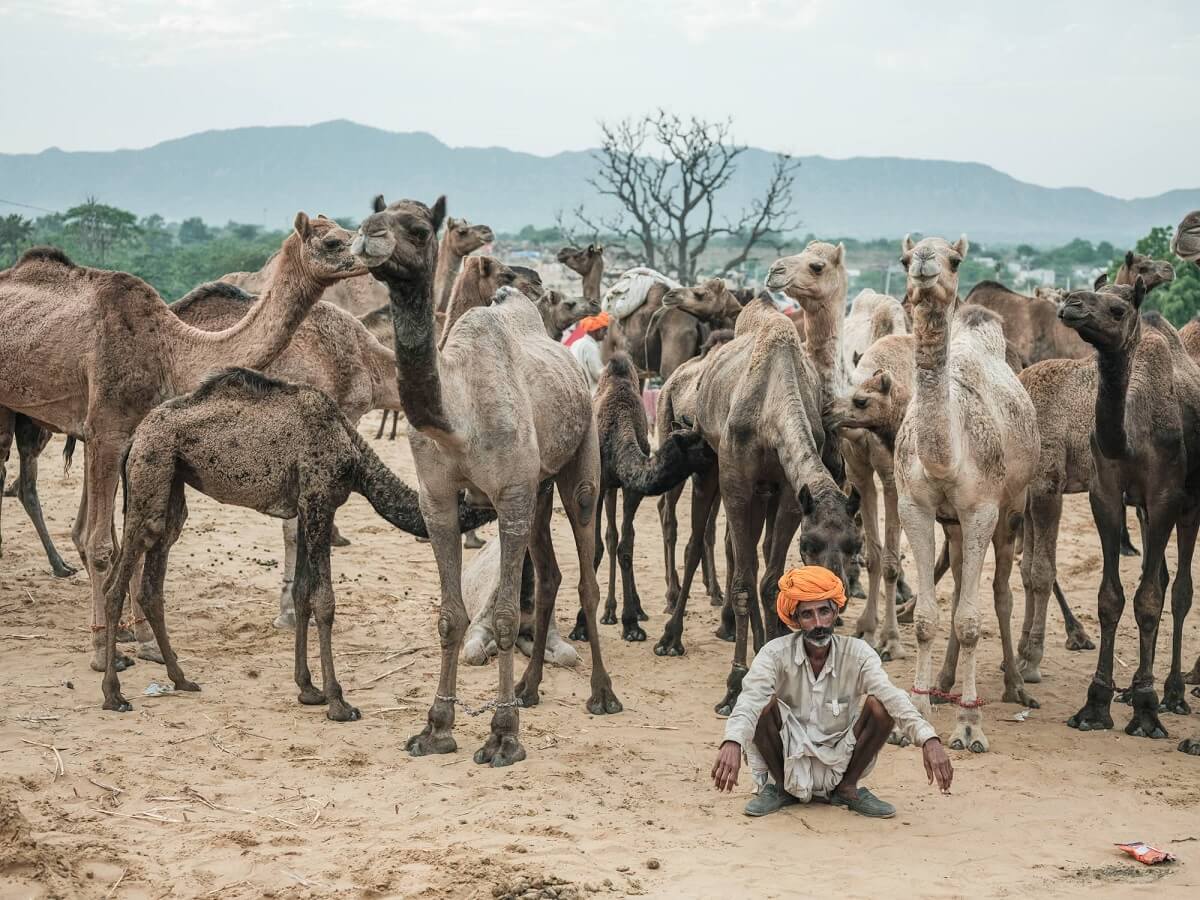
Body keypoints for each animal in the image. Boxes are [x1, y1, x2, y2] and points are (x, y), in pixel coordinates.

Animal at [0, 217, 364, 672]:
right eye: (332, 241)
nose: (369, 254)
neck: (170, 350)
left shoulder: (136, 438)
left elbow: (133, 538)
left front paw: (145, 643)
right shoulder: (105, 430)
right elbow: (100, 543)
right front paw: (104, 653)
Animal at [98, 367, 496, 720]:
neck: (353, 452)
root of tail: (135, 437)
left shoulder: (308, 509)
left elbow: (303, 593)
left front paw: (308, 689)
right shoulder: (319, 501)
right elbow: (325, 601)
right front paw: (338, 702)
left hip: (171, 485)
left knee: (152, 582)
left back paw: (181, 679)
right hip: (150, 472)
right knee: (115, 585)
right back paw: (114, 694)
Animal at [352, 192, 619, 768]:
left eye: (419, 228)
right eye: (373, 212)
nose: (366, 236)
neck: (459, 416)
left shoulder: (510, 495)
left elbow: (502, 618)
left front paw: (502, 737)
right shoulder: (438, 499)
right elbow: (451, 615)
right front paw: (436, 727)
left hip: (578, 467)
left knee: (585, 574)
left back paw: (603, 695)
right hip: (538, 488)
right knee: (549, 576)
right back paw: (529, 689)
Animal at [657, 300, 864, 724]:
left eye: (855, 545)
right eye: (809, 545)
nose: (835, 602)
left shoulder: (787, 491)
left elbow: (770, 580)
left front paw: (772, 655)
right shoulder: (736, 478)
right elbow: (742, 579)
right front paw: (735, 685)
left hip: (762, 492)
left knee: (750, 558)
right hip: (708, 465)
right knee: (698, 545)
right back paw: (671, 636)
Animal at [897, 236, 1036, 758]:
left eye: (955, 260)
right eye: (904, 257)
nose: (923, 264)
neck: (946, 454)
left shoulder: (981, 511)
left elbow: (973, 621)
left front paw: (970, 726)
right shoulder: (914, 507)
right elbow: (927, 617)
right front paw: (916, 713)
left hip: (1012, 509)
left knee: (999, 592)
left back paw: (1016, 685)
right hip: (953, 524)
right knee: (958, 586)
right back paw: (943, 681)